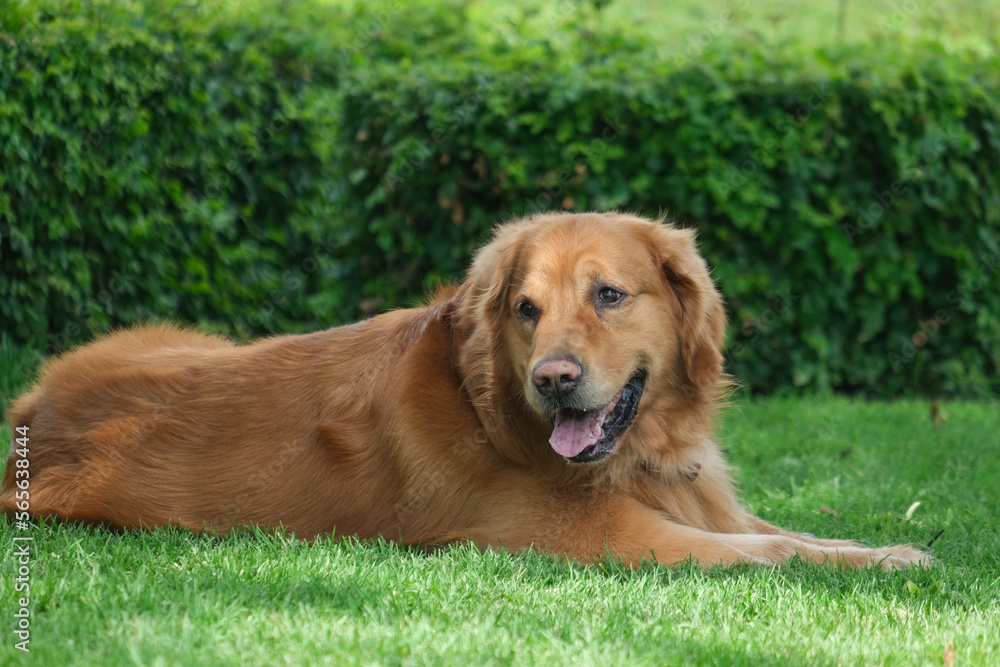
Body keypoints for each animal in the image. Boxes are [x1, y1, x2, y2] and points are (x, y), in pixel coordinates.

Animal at [3, 213, 932, 568]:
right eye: (526, 308)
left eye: (609, 295)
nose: (553, 379)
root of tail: (34, 412)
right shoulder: (611, 538)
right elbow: (774, 553)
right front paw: (889, 564)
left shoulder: (703, 502)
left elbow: (798, 532)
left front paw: (886, 548)